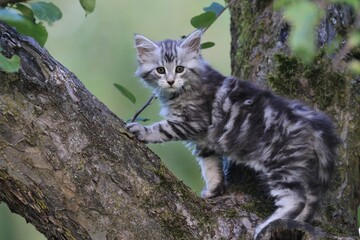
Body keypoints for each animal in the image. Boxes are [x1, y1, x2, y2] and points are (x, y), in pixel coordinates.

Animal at [127, 30, 340, 238]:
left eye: (180, 69)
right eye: (160, 70)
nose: (170, 81)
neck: (184, 90)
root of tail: (314, 125)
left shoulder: (191, 122)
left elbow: (162, 129)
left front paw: (141, 131)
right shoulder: (204, 141)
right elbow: (211, 166)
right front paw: (214, 190)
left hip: (282, 165)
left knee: (296, 200)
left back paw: (264, 227)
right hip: (300, 167)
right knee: (310, 200)